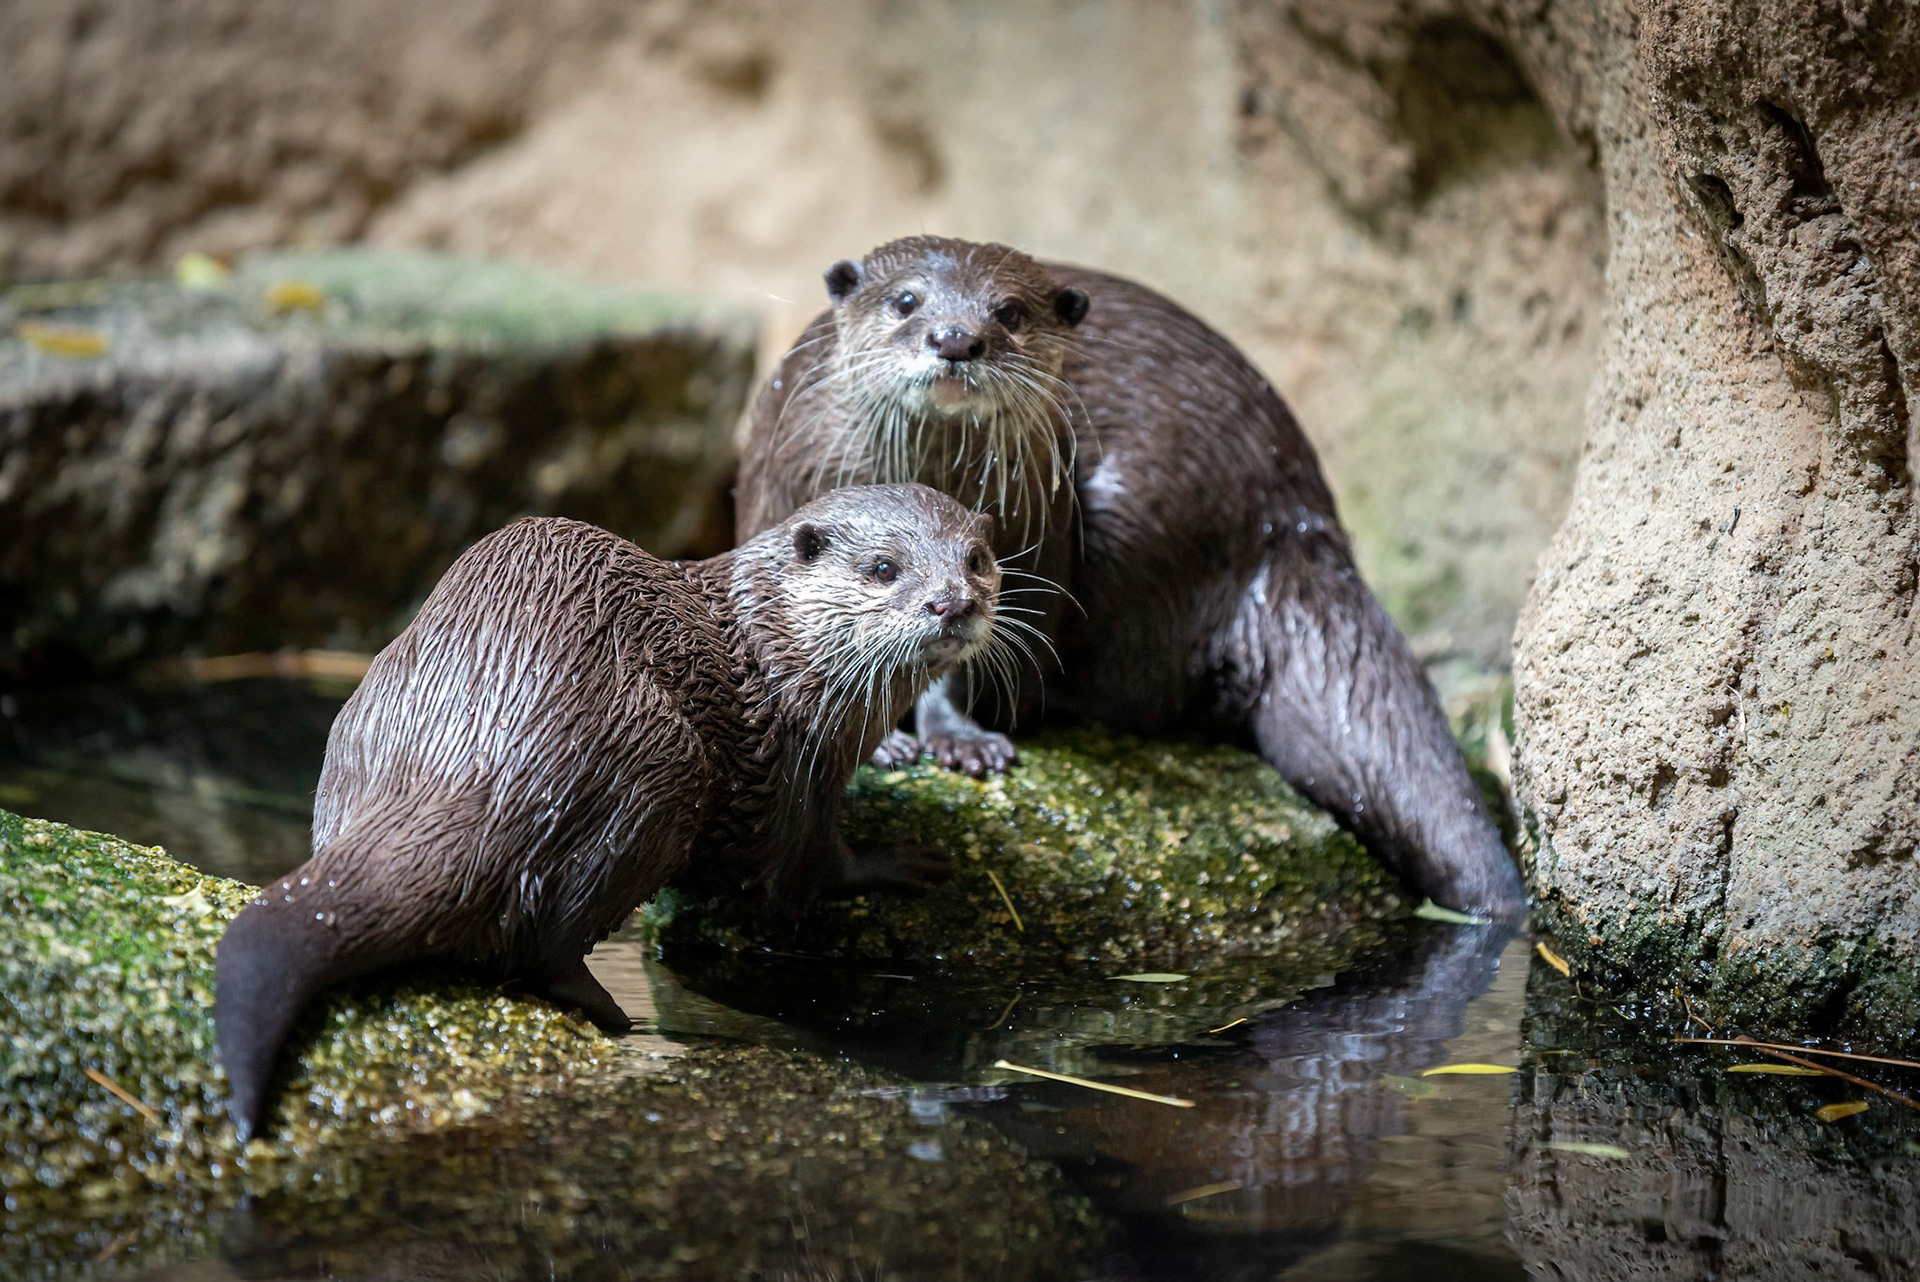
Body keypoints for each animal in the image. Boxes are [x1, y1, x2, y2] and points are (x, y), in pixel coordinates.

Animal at [215, 483, 1001, 1140]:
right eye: (883, 569)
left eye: (976, 559)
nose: (952, 603)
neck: (779, 652)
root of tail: (475, 751)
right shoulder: (801, 771)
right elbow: (802, 874)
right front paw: (899, 858)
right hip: (659, 773)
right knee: (549, 947)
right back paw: (612, 1013)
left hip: (359, 724)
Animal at [737, 236, 1524, 918]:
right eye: (906, 301)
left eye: (1009, 312)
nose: (957, 338)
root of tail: (1294, 529)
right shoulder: (782, 490)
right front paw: (883, 741)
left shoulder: (1030, 542)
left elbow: (978, 656)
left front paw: (958, 739)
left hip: (1139, 513)